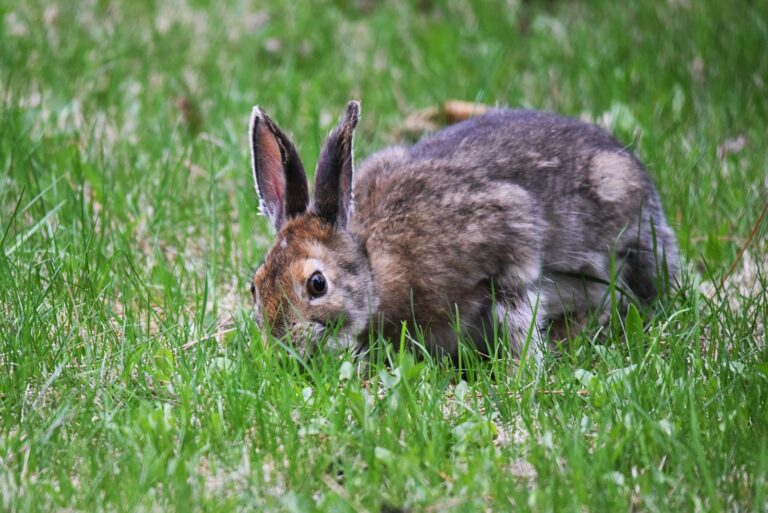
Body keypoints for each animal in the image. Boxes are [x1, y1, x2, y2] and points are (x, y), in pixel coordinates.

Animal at [247, 101, 679, 360]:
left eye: (317, 284)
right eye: (255, 286)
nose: (282, 347)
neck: (374, 265)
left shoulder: (510, 236)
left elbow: (518, 313)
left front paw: (520, 373)